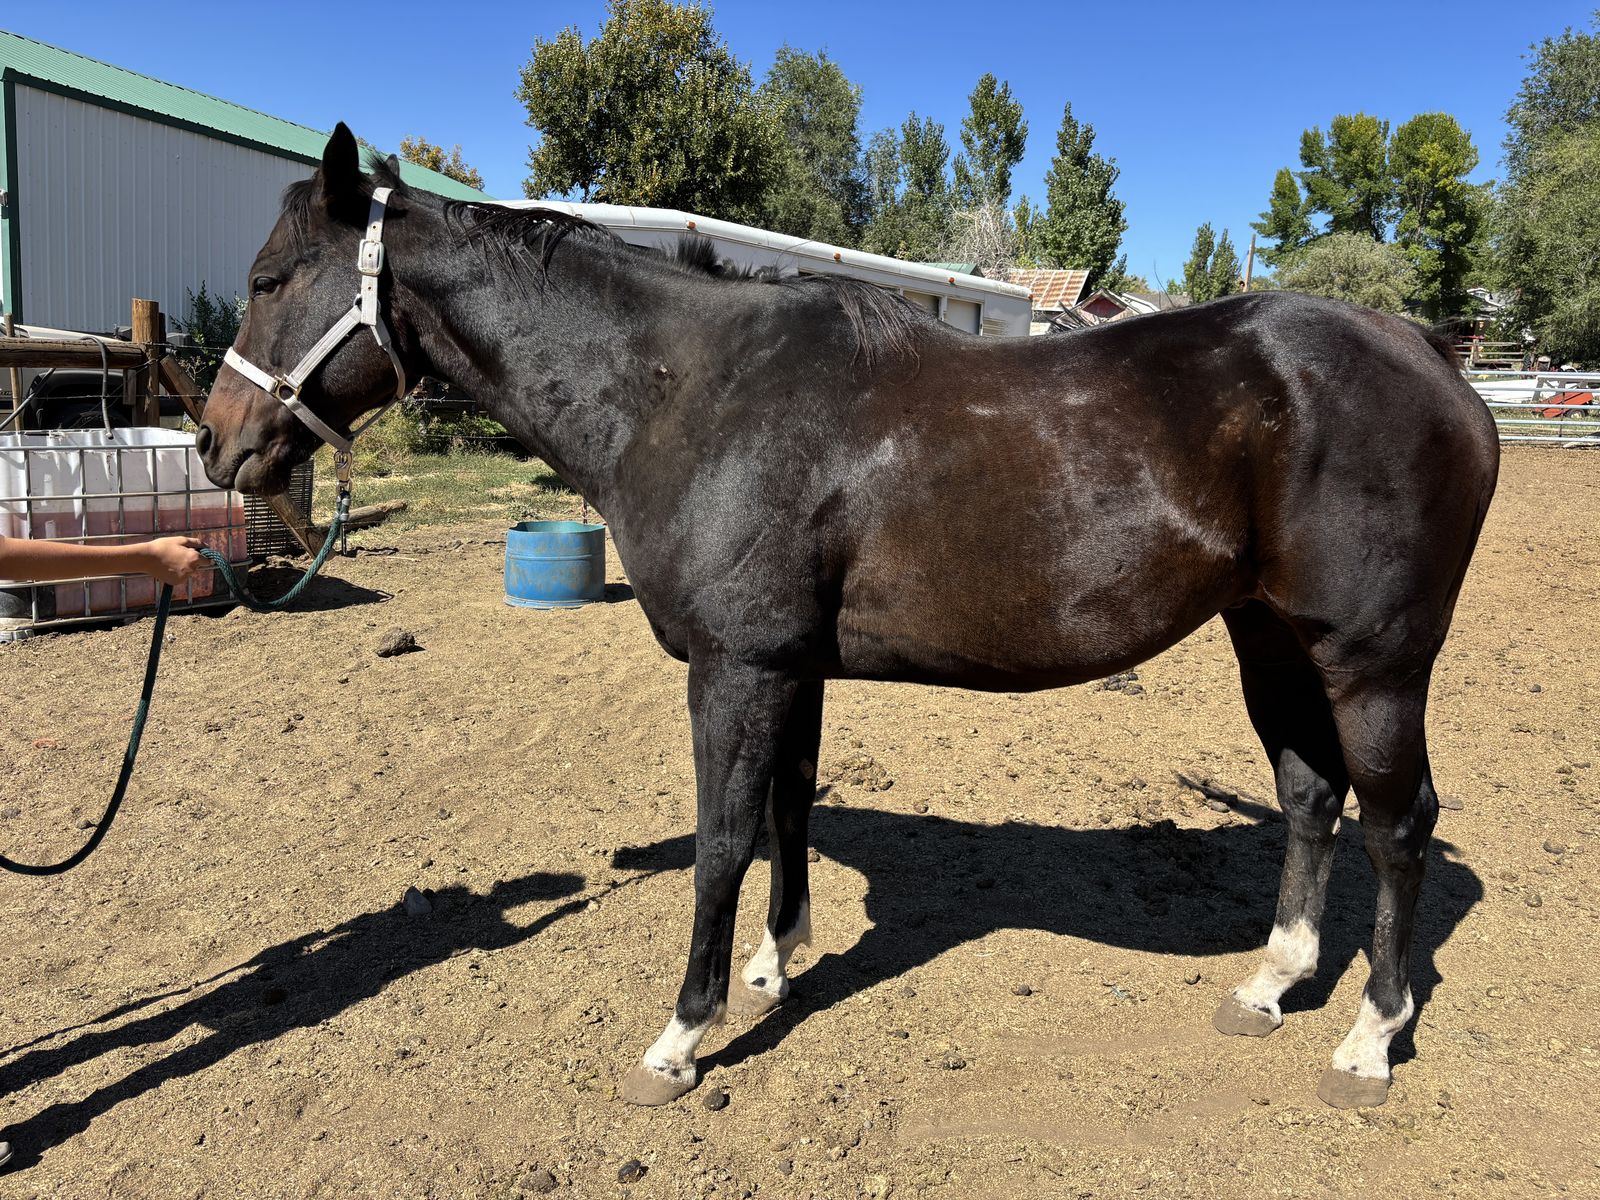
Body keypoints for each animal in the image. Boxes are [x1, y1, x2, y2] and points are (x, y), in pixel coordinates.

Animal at [198, 125, 1499, 1111]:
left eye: (270, 281)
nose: (218, 445)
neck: (690, 391)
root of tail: (1431, 355)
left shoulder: (735, 666)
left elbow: (725, 838)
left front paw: (682, 1037)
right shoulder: (792, 667)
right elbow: (788, 810)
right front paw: (778, 964)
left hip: (1373, 663)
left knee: (1396, 825)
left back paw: (1368, 1041)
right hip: (1269, 637)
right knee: (1310, 798)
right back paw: (1271, 984)